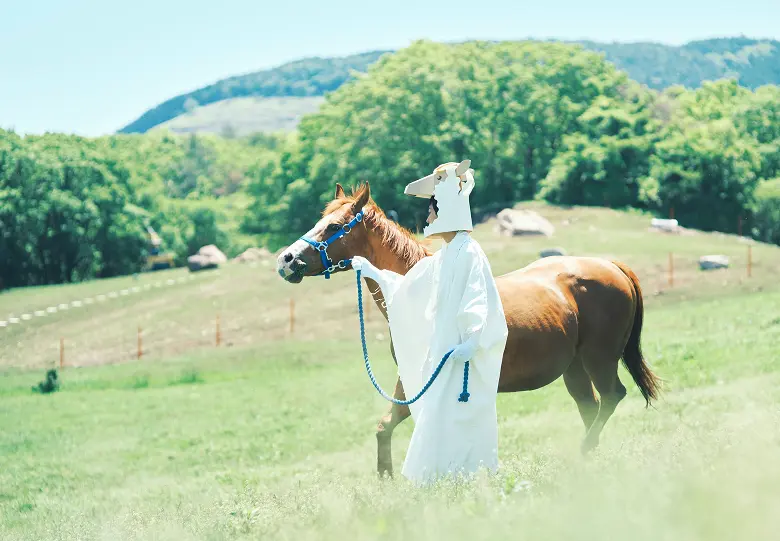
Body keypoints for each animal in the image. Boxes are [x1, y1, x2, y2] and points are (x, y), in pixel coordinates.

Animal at [276, 182, 661, 477]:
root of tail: (611, 266)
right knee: (590, 406)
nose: (286, 260)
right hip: (575, 368)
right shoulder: (411, 380)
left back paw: (584, 452)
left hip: (600, 358)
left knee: (611, 397)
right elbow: (386, 425)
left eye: (333, 227)